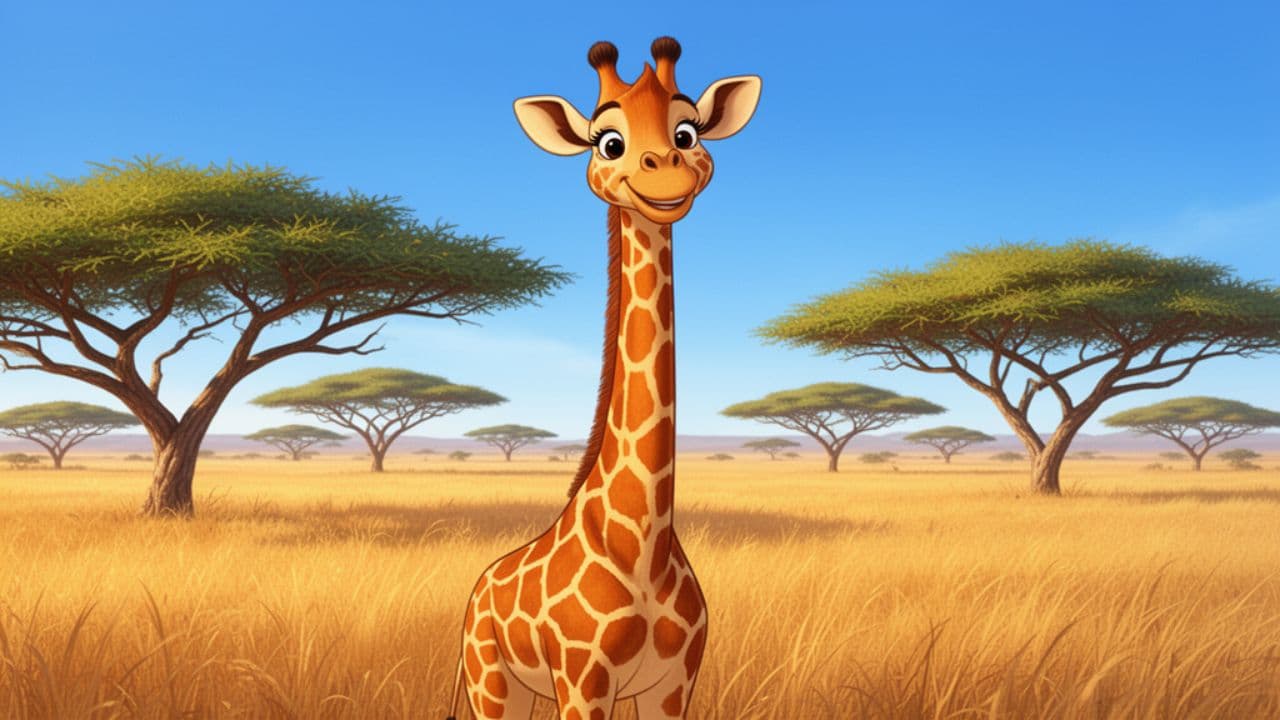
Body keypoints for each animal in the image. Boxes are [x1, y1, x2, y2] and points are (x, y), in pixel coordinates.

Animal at [445, 37, 760, 720]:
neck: (643, 546)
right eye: (607, 141)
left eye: (688, 130)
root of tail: (476, 589)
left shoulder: (675, 683)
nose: (665, 171)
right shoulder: (583, 679)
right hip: (491, 680)